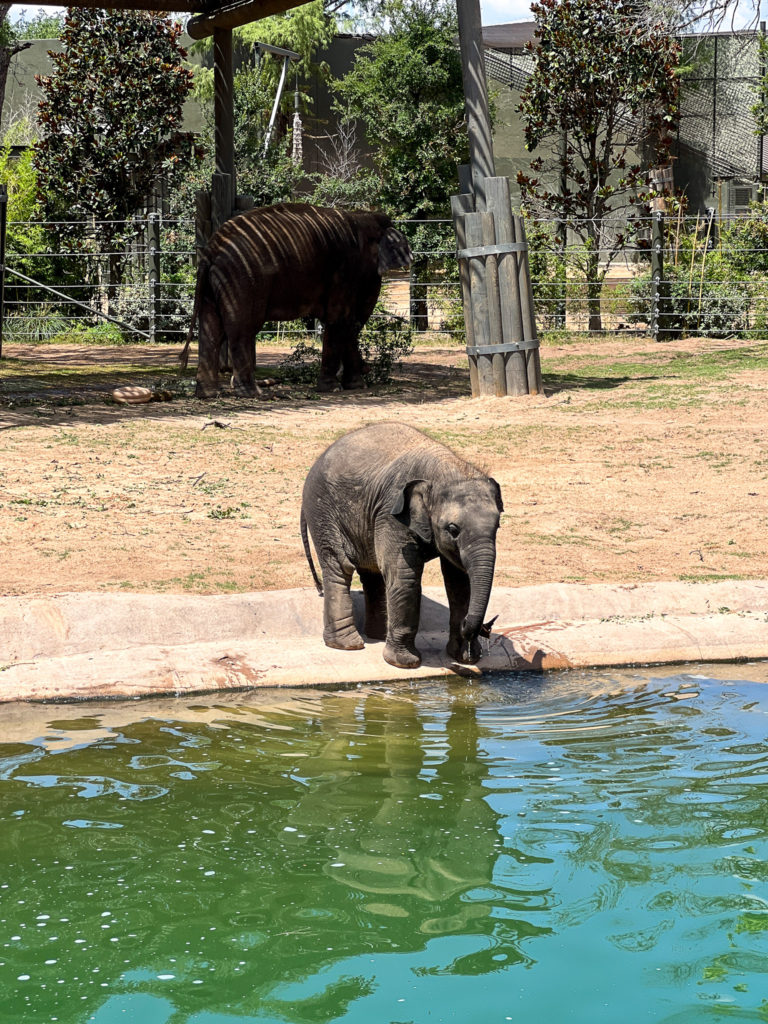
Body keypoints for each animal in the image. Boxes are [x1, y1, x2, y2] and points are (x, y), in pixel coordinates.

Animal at [180, 201, 411, 397]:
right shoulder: (344, 270)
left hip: (215, 282)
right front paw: (334, 389)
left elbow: (346, 323)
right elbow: (340, 320)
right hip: (240, 280)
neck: (361, 217)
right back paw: (253, 393)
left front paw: (355, 385)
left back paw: (209, 394)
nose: (368, 367)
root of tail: (210, 251)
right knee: (242, 330)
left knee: (211, 330)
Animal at [301, 423, 505, 671]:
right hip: (322, 512)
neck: (445, 470)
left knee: (372, 572)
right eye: (453, 529)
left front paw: (466, 658)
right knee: (340, 567)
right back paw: (348, 645)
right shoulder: (392, 513)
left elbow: (460, 580)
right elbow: (404, 576)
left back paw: (378, 636)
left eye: (497, 526)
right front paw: (405, 663)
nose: (484, 627)